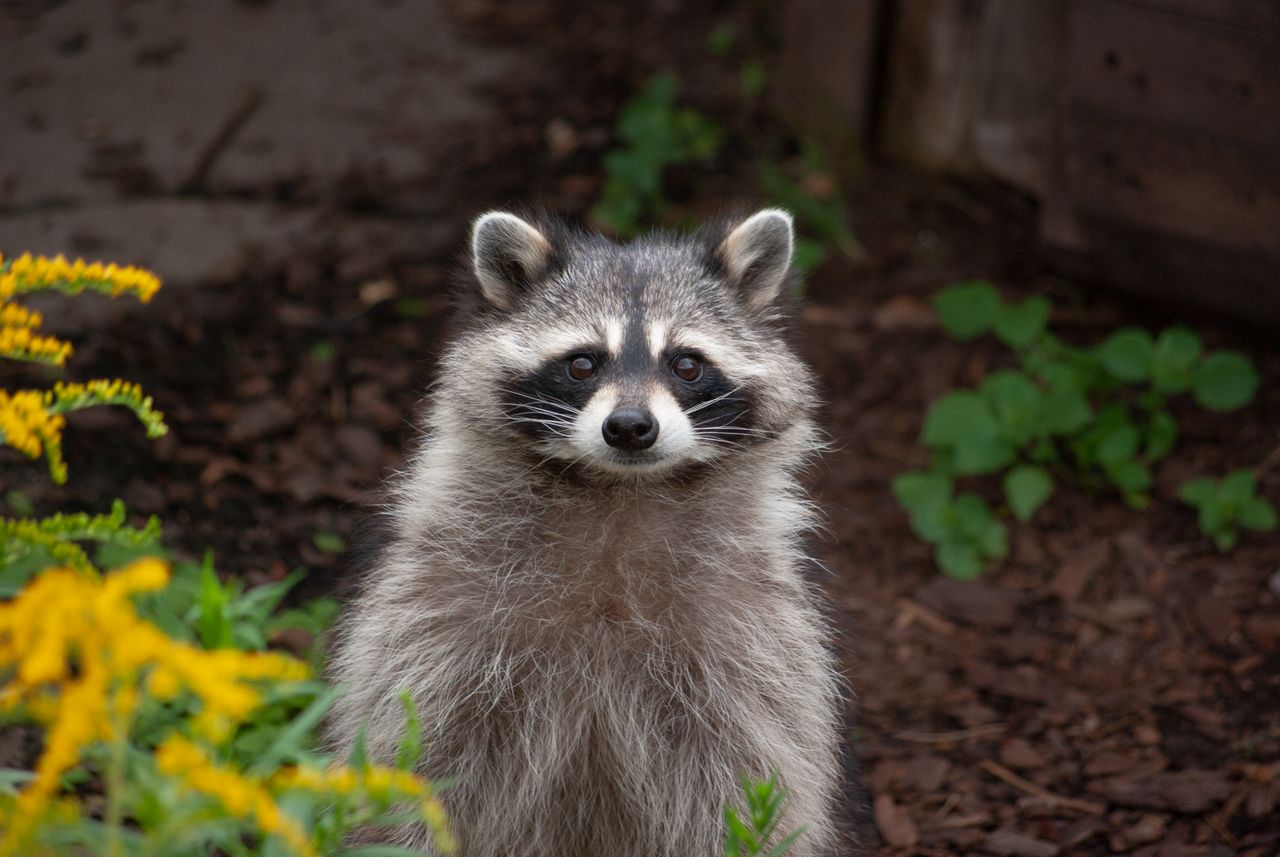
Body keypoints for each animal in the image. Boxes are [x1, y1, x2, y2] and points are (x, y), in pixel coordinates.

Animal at [326, 209, 847, 856]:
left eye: (686, 364)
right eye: (582, 363)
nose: (629, 427)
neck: (619, 490)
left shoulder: (748, 635)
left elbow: (748, 773)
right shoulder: (441, 613)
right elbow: (417, 753)